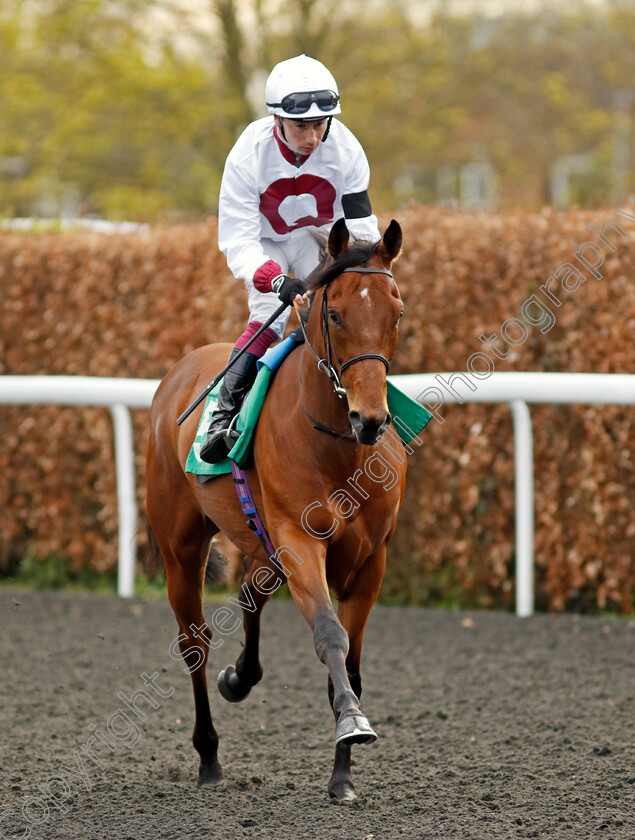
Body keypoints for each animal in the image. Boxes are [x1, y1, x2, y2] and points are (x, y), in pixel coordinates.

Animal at [147, 217, 408, 800]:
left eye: (397, 312)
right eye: (333, 313)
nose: (371, 419)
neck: (339, 447)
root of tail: (180, 370)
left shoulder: (371, 559)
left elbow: (351, 664)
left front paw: (342, 776)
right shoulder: (300, 541)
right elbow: (330, 635)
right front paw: (352, 724)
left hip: (259, 543)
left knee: (250, 592)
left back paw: (239, 678)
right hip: (182, 547)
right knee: (193, 642)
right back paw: (209, 758)